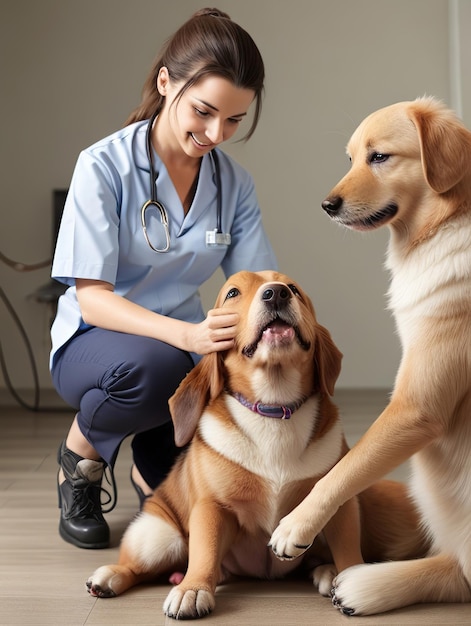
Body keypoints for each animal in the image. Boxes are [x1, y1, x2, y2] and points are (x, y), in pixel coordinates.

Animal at [85, 270, 428, 620]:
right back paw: (111, 577)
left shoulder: (340, 503)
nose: (276, 293)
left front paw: (353, 579)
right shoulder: (211, 508)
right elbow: (204, 554)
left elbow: (346, 548)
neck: (274, 407)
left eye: (293, 289)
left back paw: (326, 570)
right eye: (233, 292)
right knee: (142, 566)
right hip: (159, 537)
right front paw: (193, 589)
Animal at [270, 98, 471, 616]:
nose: (326, 205)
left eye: (380, 157)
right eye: (351, 158)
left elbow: (341, 472)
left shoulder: (415, 409)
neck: (448, 220)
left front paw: (296, 526)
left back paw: (361, 586)